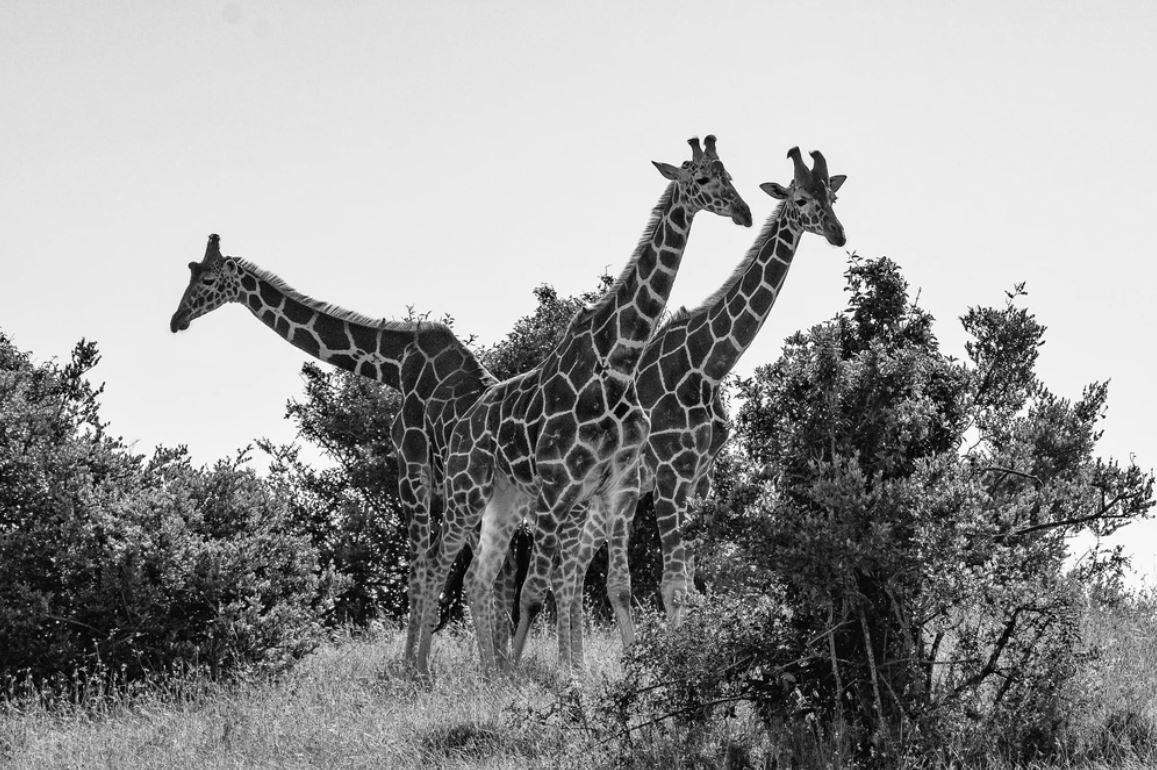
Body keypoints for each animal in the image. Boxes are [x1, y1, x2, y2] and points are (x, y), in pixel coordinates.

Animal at [170, 233, 497, 661]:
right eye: (190, 271)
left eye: (208, 279)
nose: (177, 320)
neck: (394, 363)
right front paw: (484, 663)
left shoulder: (412, 456)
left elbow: (420, 567)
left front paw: (413, 665)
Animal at [411, 136, 754, 670]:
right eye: (700, 178)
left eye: (729, 174)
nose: (743, 211)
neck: (619, 357)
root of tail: (463, 422)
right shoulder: (559, 487)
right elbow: (539, 590)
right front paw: (546, 675)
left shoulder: (612, 487)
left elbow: (616, 582)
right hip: (468, 489)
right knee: (439, 563)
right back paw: (422, 669)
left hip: (503, 499)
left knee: (476, 574)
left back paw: (486, 671)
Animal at [573, 145, 846, 633]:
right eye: (800, 199)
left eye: (832, 197)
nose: (838, 234)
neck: (707, 366)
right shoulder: (669, 475)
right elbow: (673, 586)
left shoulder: (701, 478)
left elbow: (695, 582)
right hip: (609, 492)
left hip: (612, 496)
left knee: (578, 566)